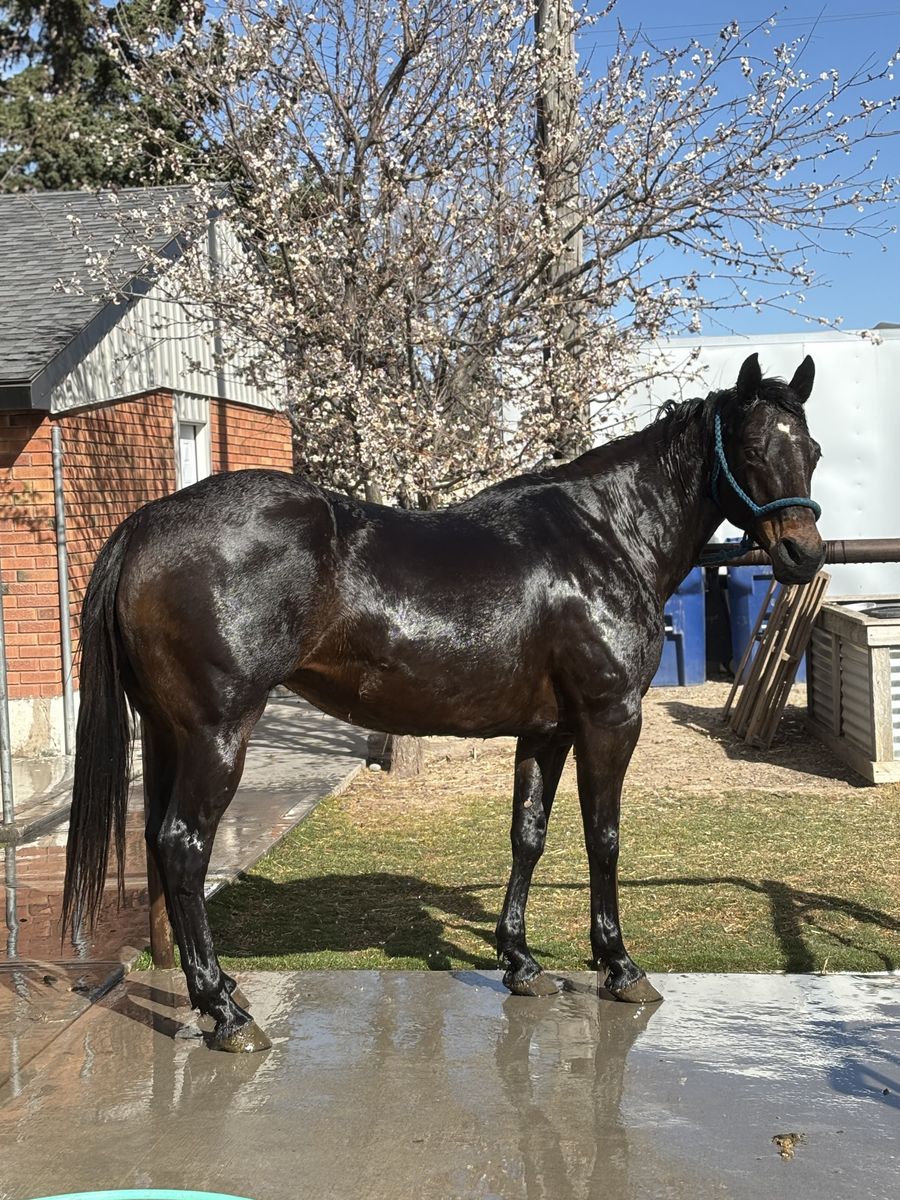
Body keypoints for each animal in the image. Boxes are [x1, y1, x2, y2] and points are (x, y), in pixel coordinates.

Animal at [63, 351, 824, 1052]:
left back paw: (213, 991)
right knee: (184, 846)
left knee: (160, 845)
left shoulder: (547, 731)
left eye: (811, 451)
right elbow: (602, 837)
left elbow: (528, 835)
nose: (804, 555)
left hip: (169, 732)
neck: (605, 536)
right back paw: (224, 1013)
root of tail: (146, 524)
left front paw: (520, 963)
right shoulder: (610, 718)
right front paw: (619, 967)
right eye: (753, 449)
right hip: (219, 733)